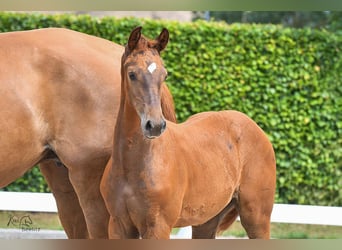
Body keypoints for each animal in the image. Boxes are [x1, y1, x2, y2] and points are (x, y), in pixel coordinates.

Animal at [100, 26, 276, 238]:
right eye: (132, 74)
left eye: (164, 75)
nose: (155, 125)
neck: (132, 164)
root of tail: (256, 128)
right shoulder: (118, 225)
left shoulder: (158, 226)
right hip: (206, 221)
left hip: (256, 217)